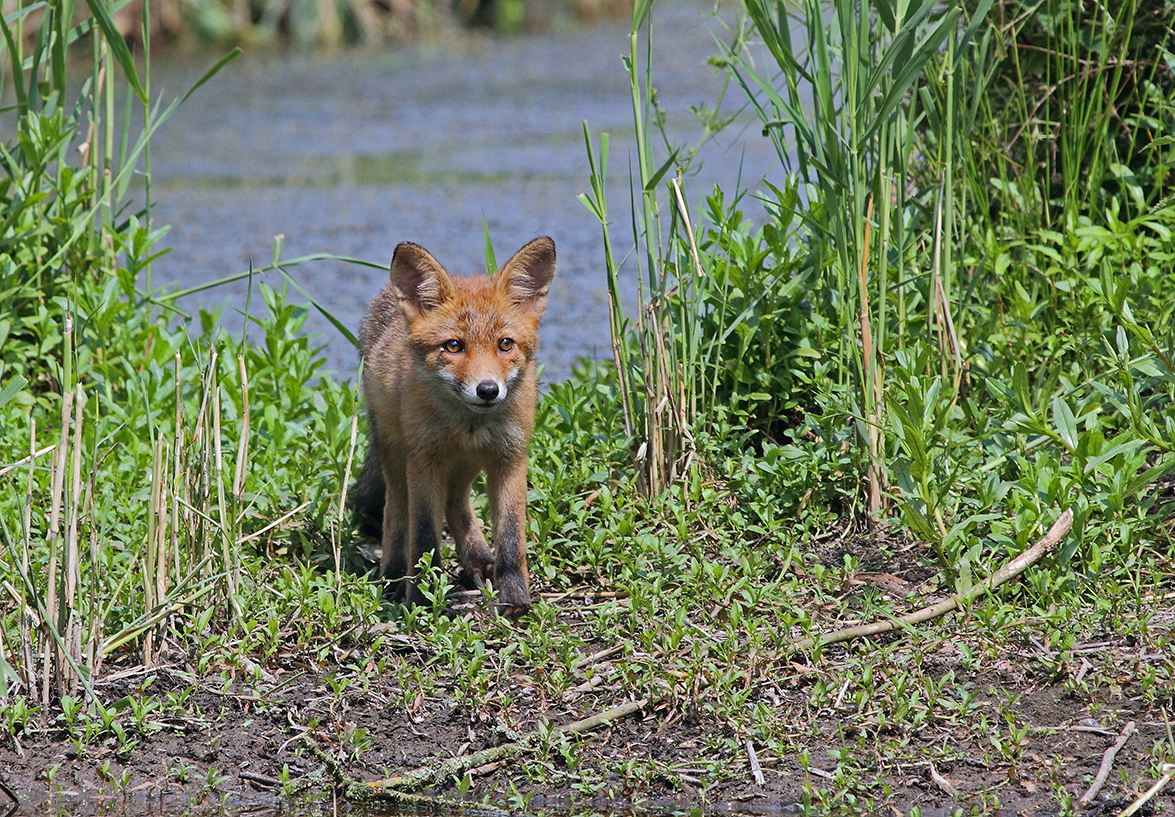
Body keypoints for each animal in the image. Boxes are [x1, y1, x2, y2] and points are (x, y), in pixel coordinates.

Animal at [347, 236, 554, 620]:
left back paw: (477, 559)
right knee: (396, 512)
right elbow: (424, 536)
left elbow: (511, 538)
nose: (487, 390)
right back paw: (394, 577)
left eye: (505, 344)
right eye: (453, 346)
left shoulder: (510, 457)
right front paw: (422, 597)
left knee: (456, 502)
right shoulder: (424, 460)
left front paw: (515, 599)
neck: (468, 425)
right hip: (397, 455)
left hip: (466, 464)